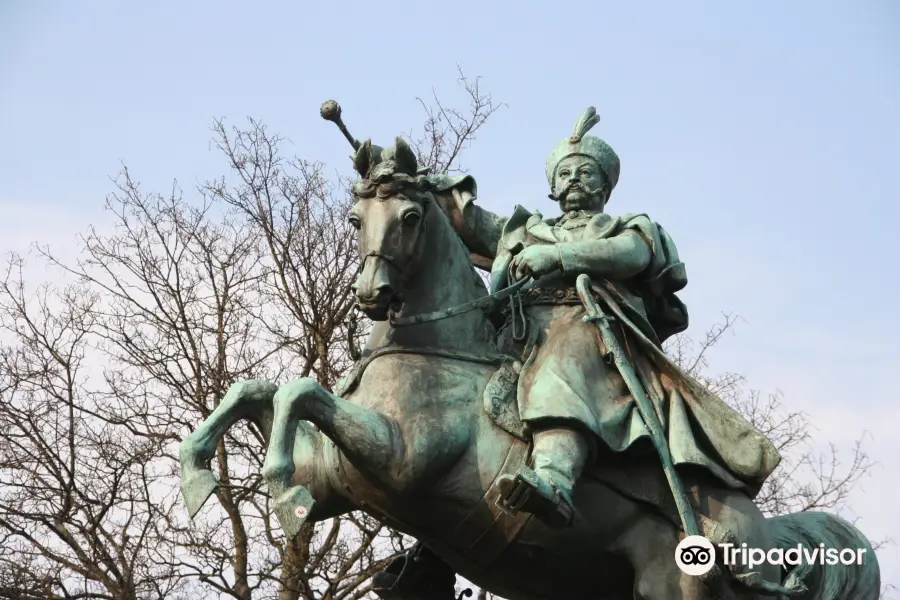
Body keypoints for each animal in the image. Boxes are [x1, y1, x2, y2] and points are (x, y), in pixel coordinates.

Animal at [181, 137, 880, 600]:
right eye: (356, 218)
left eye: (409, 216)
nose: (372, 295)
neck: (436, 352)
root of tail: (763, 532)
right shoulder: (337, 479)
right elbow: (259, 391)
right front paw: (196, 474)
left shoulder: (398, 462)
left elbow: (299, 391)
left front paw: (277, 489)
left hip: (672, 584)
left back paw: (541, 489)